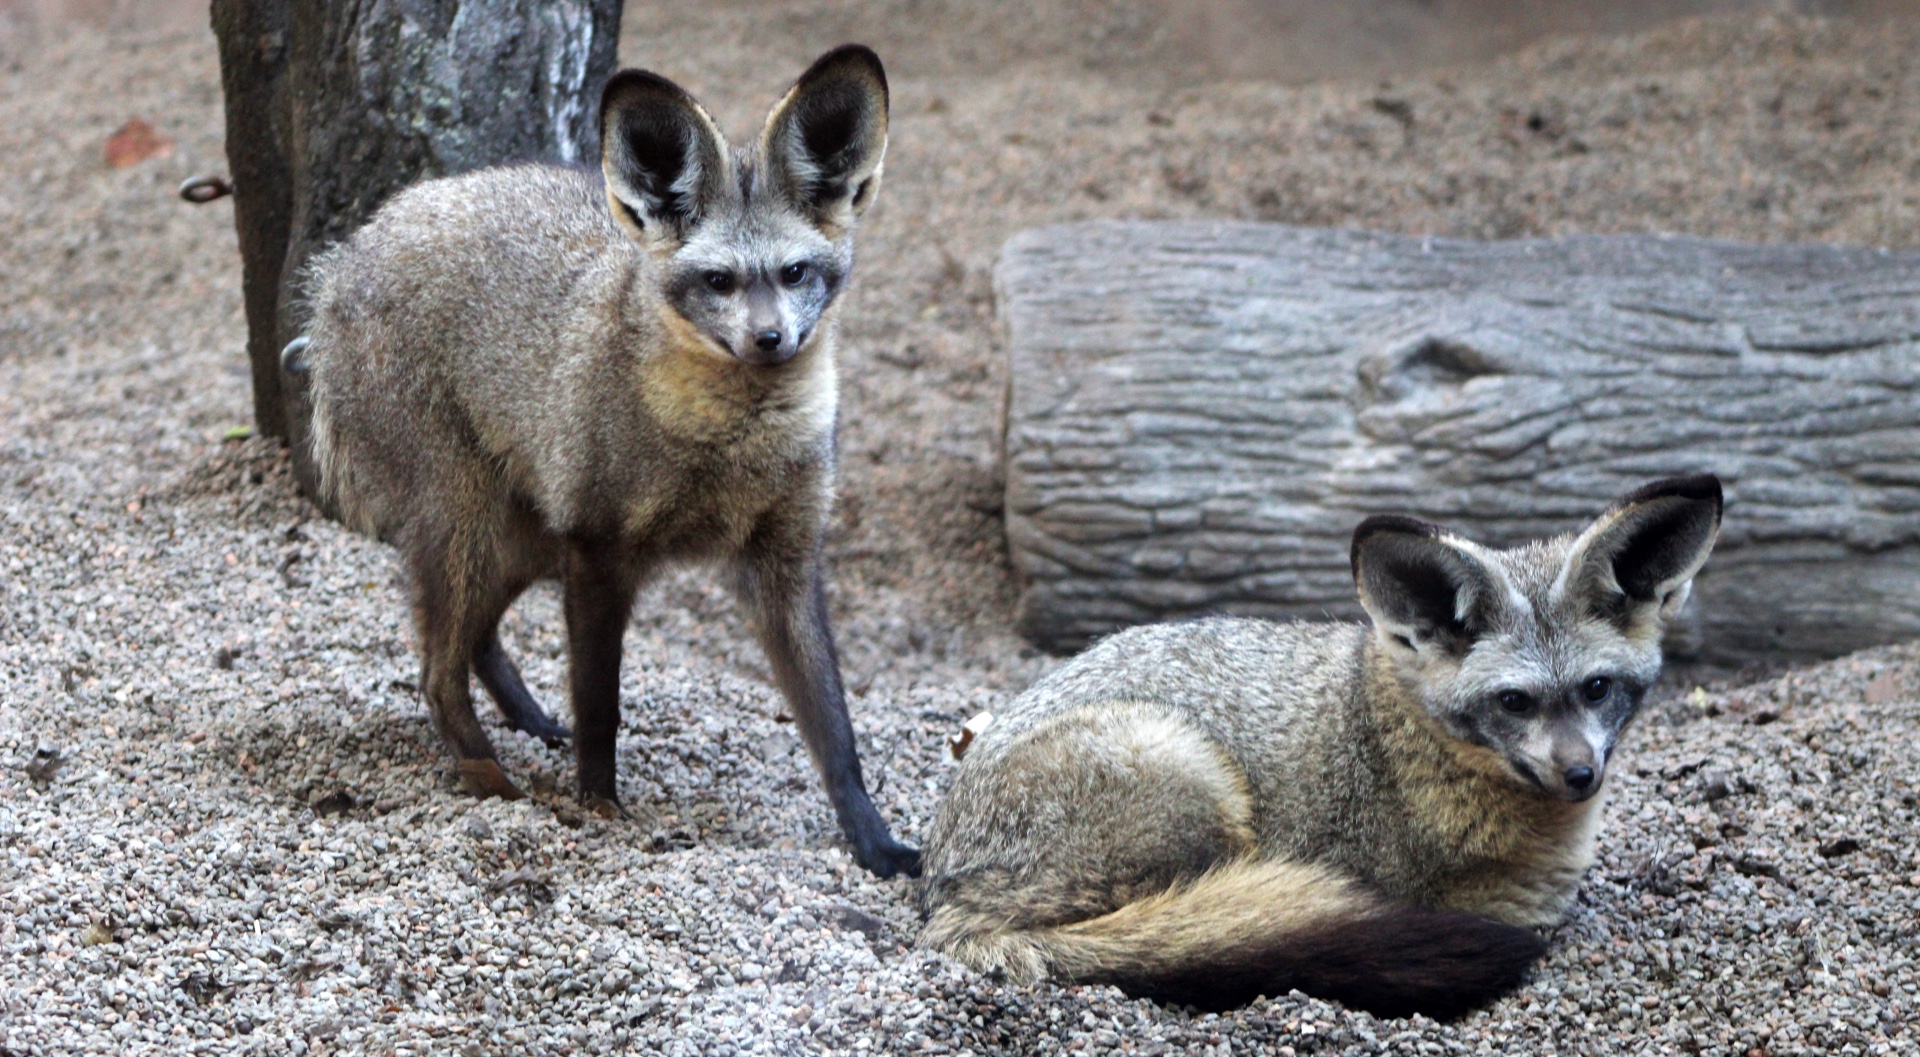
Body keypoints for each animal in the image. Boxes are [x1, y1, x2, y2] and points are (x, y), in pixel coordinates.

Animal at [299, 45, 920, 878]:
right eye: (719, 281)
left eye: (794, 273)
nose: (769, 341)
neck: (729, 454)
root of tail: (346, 255)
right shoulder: (599, 550)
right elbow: (601, 706)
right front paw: (598, 807)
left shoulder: (784, 562)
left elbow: (836, 732)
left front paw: (874, 842)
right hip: (474, 522)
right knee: (436, 671)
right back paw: (492, 777)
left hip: (523, 538)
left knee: (475, 639)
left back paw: (529, 724)